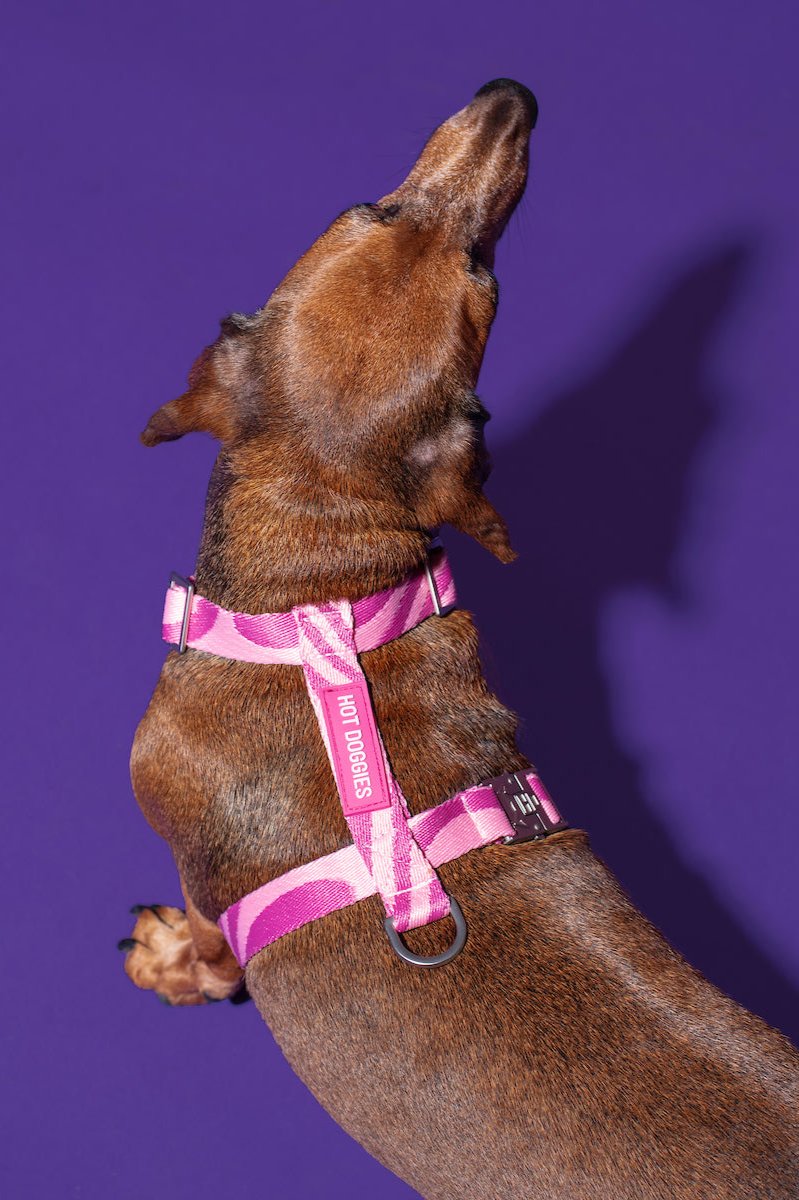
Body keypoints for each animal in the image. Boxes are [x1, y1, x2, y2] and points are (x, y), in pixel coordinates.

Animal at [122, 82, 796, 1200]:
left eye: (483, 268)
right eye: (375, 208)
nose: (510, 100)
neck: (323, 590)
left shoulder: (205, 879)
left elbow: (211, 949)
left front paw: (172, 963)